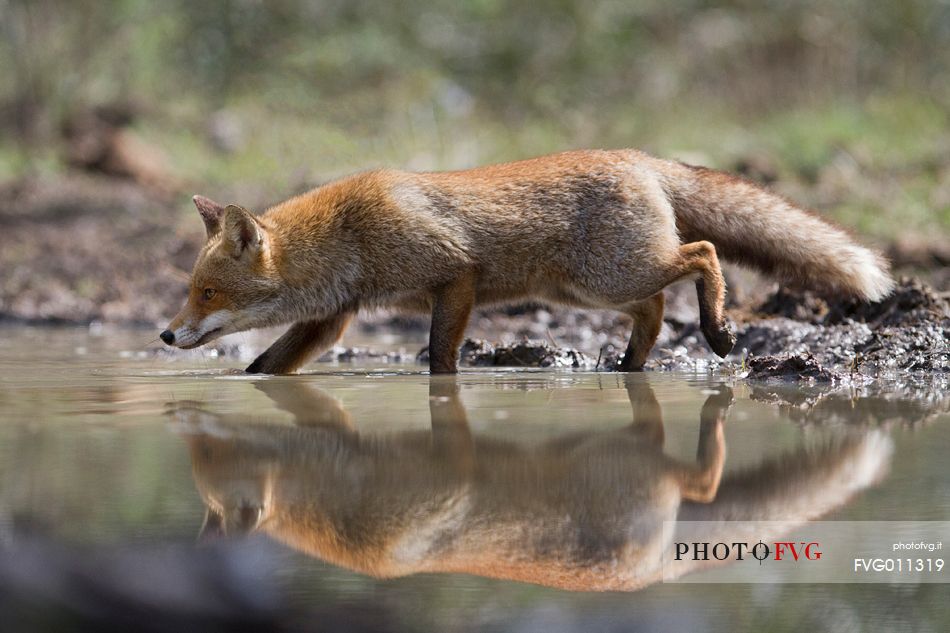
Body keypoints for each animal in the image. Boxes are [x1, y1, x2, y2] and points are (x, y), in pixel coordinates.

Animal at [160, 150, 896, 372]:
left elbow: (440, 358)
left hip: (613, 275)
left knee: (704, 254)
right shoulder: (331, 319)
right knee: (655, 308)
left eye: (207, 293)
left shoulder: (455, 275)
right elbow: (262, 368)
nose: (165, 335)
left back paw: (716, 329)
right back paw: (630, 367)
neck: (353, 237)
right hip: (588, 293)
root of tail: (640, 156)